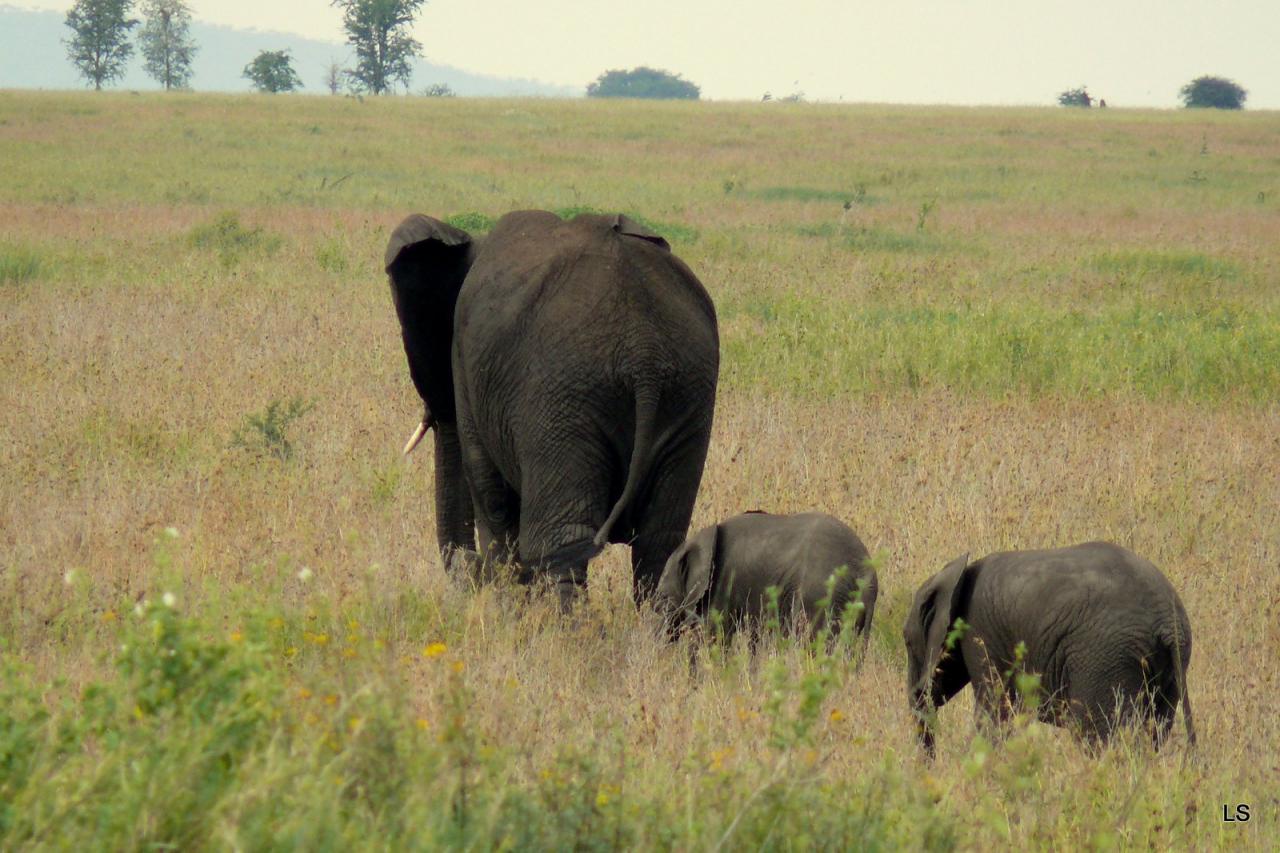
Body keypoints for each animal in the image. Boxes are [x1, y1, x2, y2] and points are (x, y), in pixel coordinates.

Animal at [378, 206, 721, 604]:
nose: (469, 567)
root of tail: (643, 352)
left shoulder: (465, 363)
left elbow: (491, 496)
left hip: (563, 396)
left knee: (563, 540)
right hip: (686, 390)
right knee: (659, 542)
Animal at [906, 537, 1192, 753]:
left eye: (907, 641)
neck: (956, 575)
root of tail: (1166, 622)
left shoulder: (980, 634)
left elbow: (996, 712)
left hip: (1105, 659)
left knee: (1098, 735)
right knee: (1154, 731)